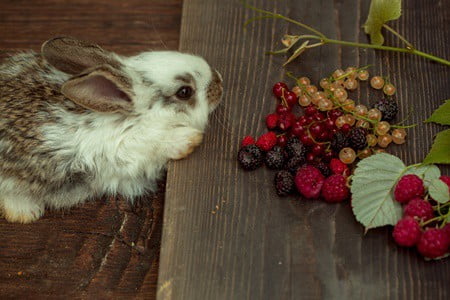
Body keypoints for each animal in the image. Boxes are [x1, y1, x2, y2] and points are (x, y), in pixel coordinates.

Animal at [0, 36, 223, 223]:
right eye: (185, 92)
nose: (220, 82)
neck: (132, 118)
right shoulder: (128, 153)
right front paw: (190, 140)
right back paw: (25, 213)